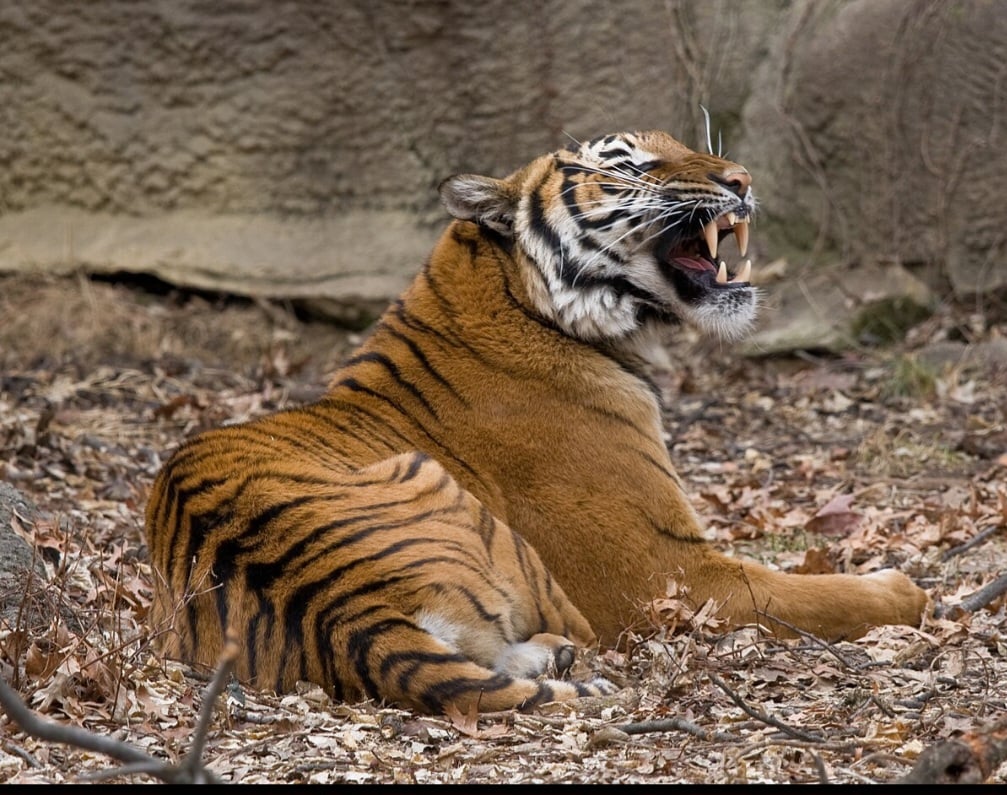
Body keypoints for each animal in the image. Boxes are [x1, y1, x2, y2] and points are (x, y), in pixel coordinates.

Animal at [144, 130, 930, 716]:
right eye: (630, 164)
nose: (740, 179)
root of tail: (345, 609)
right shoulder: (665, 569)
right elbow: (811, 593)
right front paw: (904, 588)